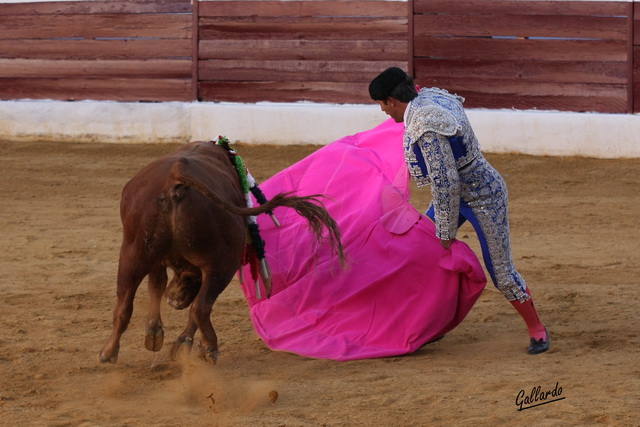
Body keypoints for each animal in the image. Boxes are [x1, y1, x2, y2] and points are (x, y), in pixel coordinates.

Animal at [98, 142, 342, 366]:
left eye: (187, 278)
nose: (174, 300)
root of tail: (177, 174)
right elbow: (167, 290)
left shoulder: (160, 260)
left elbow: (156, 285)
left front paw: (157, 334)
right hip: (222, 263)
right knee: (200, 307)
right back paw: (209, 349)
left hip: (133, 252)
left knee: (125, 306)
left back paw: (109, 352)